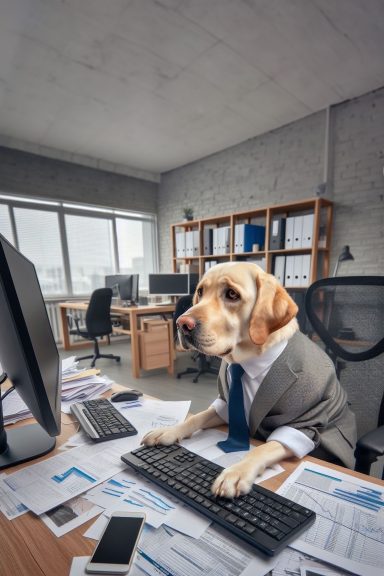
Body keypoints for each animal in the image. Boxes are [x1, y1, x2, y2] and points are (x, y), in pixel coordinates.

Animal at [142, 262, 356, 500]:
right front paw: (168, 431)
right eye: (200, 292)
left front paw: (236, 473)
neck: (246, 360)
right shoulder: (225, 405)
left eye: (232, 294)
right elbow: (195, 418)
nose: (181, 323)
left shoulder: (305, 424)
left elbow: (263, 448)